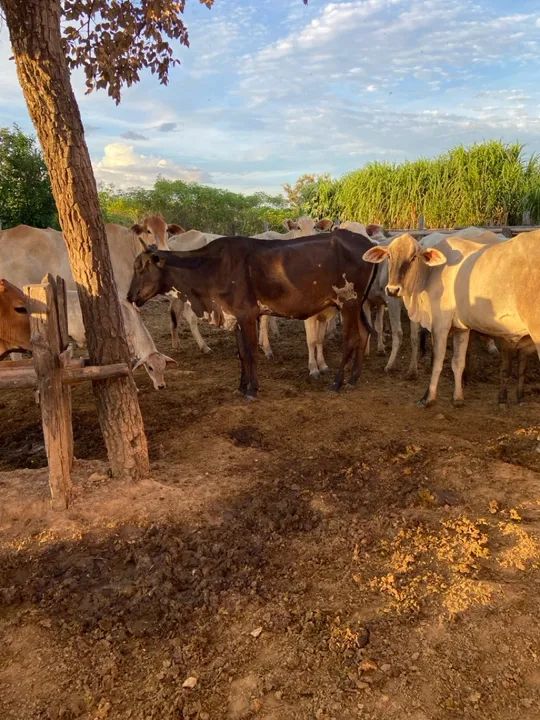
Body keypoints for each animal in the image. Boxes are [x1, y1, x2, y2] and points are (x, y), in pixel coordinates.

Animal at [128, 229, 376, 397]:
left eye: (142, 268)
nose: (129, 296)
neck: (211, 268)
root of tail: (366, 242)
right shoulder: (235, 316)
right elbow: (241, 354)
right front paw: (241, 386)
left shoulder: (247, 315)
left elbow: (251, 353)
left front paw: (252, 389)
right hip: (358, 303)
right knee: (365, 333)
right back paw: (354, 378)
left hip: (348, 301)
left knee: (351, 338)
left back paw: (337, 382)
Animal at [362, 230, 540, 408]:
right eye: (389, 256)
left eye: (413, 257)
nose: (392, 289)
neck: (431, 273)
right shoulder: (462, 329)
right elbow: (458, 362)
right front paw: (458, 397)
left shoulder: (440, 325)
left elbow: (438, 360)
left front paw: (428, 397)